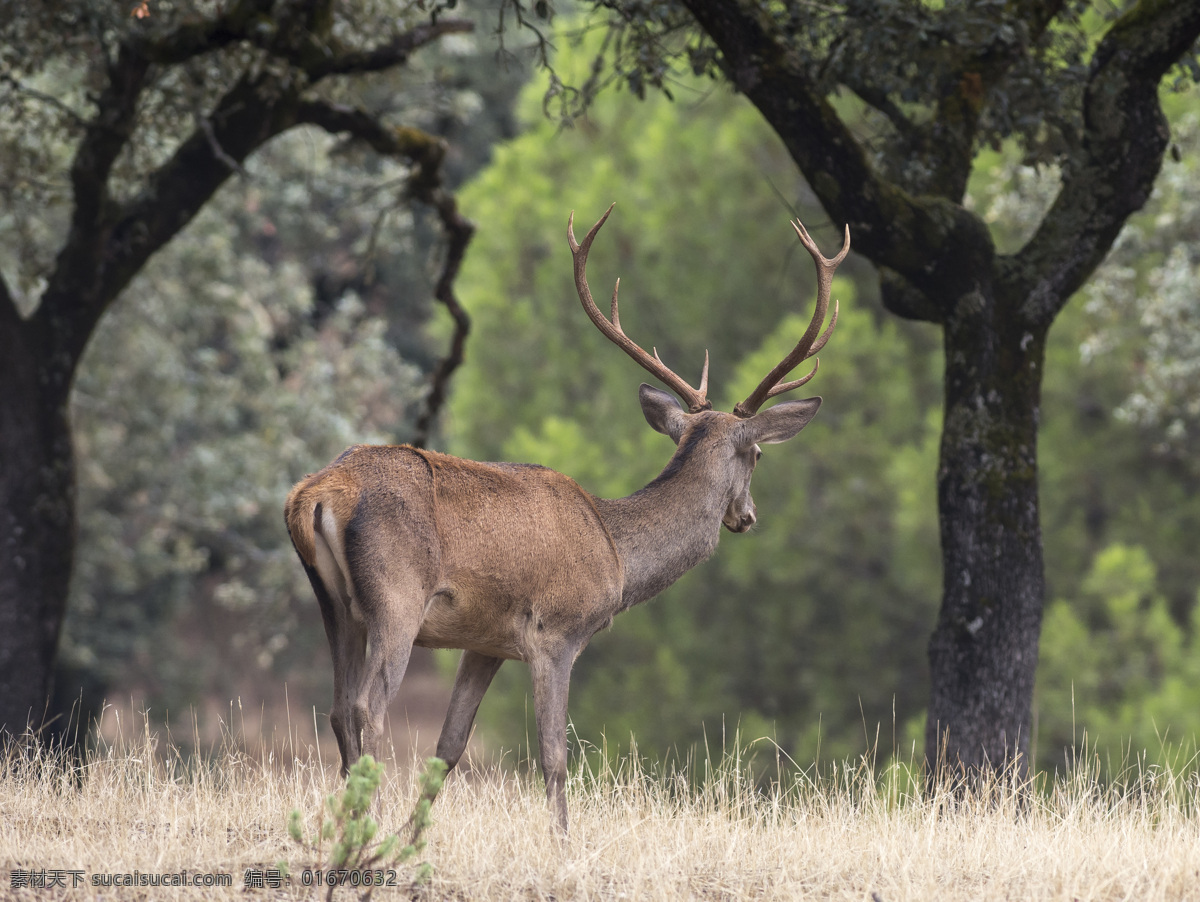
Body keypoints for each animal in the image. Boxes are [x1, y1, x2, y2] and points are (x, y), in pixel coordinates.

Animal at [284, 204, 849, 833]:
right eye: (757, 455)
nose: (747, 516)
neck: (618, 556)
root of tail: (316, 492)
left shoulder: (486, 642)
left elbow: (449, 747)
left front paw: (416, 833)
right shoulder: (556, 633)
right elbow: (554, 754)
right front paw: (562, 841)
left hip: (335, 604)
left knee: (337, 709)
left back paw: (353, 821)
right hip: (396, 596)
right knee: (367, 706)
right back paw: (369, 820)